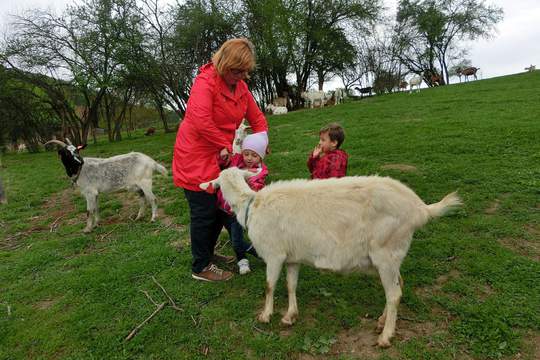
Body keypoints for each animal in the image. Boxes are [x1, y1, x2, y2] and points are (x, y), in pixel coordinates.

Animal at [200, 167, 462, 348]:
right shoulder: (292, 257)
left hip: (386, 252)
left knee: (394, 294)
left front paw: (265, 316)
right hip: (393, 255)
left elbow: (270, 285)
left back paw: (386, 336)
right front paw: (290, 316)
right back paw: (381, 321)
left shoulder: (275, 253)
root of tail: (420, 209)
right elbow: (291, 284)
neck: (252, 205)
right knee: (398, 287)